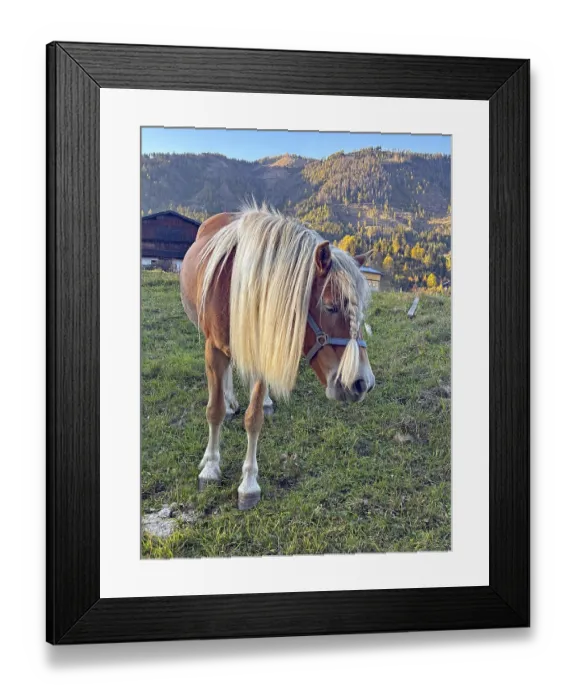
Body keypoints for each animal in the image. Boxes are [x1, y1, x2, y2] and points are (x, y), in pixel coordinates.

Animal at [180, 205, 375, 510]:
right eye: (330, 306)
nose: (361, 382)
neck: (238, 284)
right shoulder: (213, 349)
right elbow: (214, 410)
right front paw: (210, 467)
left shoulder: (263, 348)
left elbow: (254, 418)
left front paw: (248, 483)